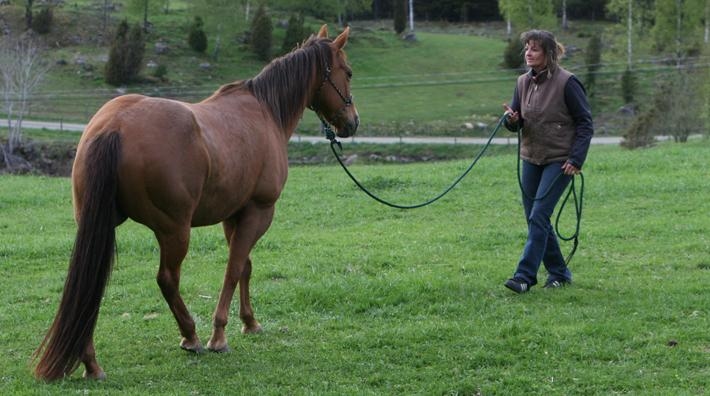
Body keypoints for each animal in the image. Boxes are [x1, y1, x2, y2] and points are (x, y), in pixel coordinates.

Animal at [32, 24, 362, 380]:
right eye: (348, 72)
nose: (353, 122)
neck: (265, 111)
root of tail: (113, 126)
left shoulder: (234, 215)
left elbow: (245, 266)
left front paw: (250, 322)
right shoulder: (259, 212)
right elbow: (233, 269)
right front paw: (219, 335)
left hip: (98, 224)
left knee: (90, 283)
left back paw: (91, 363)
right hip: (175, 230)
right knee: (166, 279)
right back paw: (190, 335)